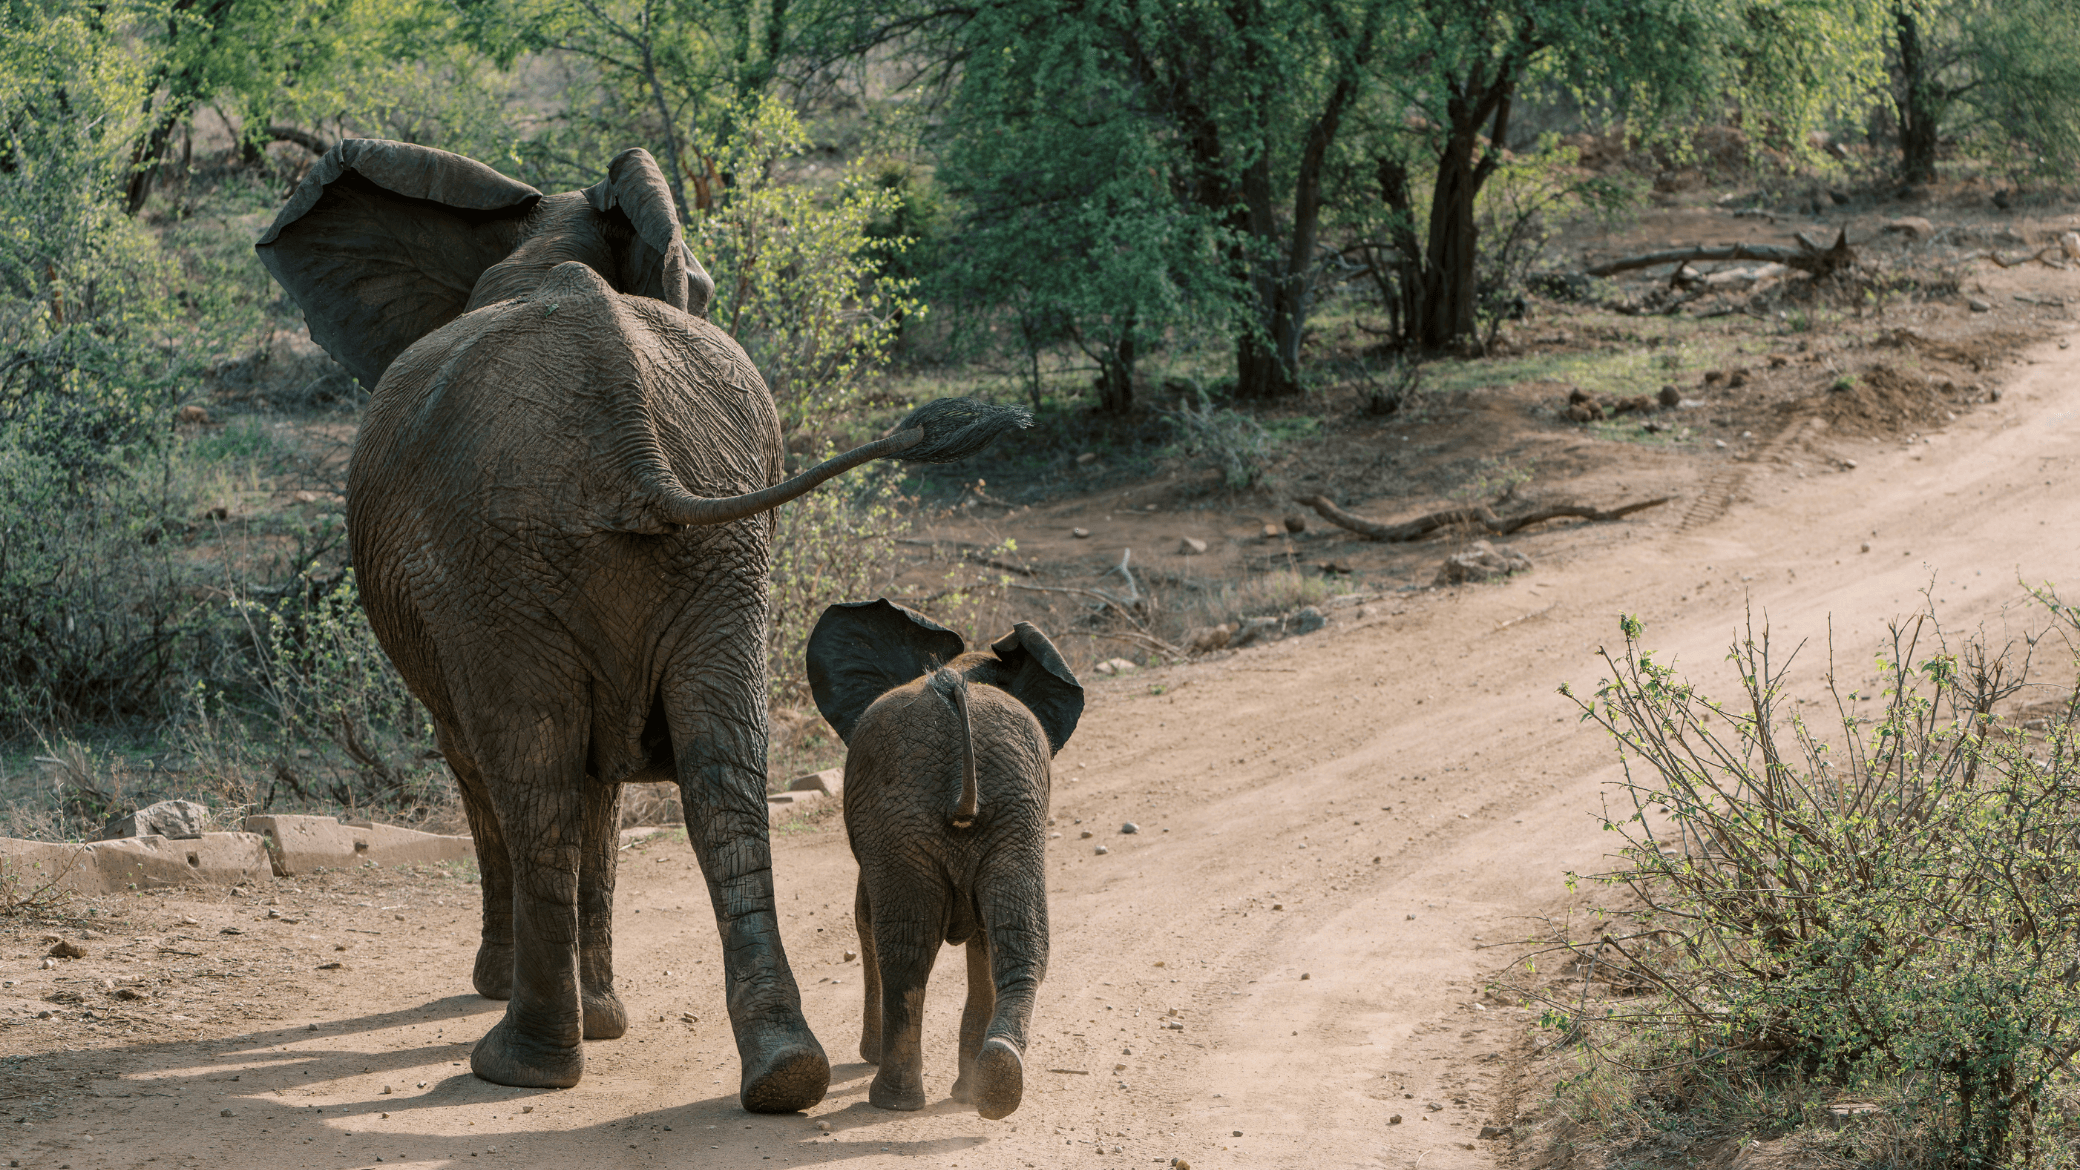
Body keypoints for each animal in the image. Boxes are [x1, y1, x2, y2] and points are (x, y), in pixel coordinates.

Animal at [253, 140, 1027, 1107]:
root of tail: (623, 417)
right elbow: (608, 782)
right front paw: (610, 1016)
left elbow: (488, 764)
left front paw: (530, 1000)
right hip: (711, 550)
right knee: (722, 776)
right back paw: (784, 1073)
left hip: (499, 553)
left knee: (533, 781)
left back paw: (521, 1064)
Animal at [804, 599, 1082, 1119]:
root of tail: (954, 689)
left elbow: (864, 915)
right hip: (1005, 815)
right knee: (1018, 939)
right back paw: (994, 1084)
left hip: (910, 817)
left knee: (907, 948)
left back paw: (896, 1101)